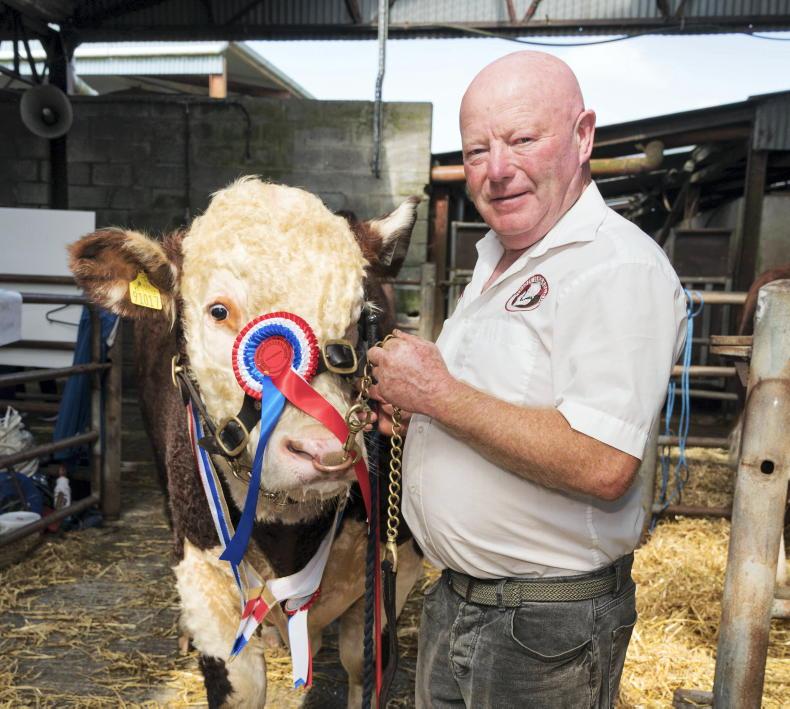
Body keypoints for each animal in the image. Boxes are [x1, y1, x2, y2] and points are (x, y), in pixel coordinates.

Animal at [68, 177, 424, 708]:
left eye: (364, 317)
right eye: (218, 310)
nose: (324, 451)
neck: (290, 532)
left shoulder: (390, 571)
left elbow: (364, 665)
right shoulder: (205, 576)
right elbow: (243, 684)